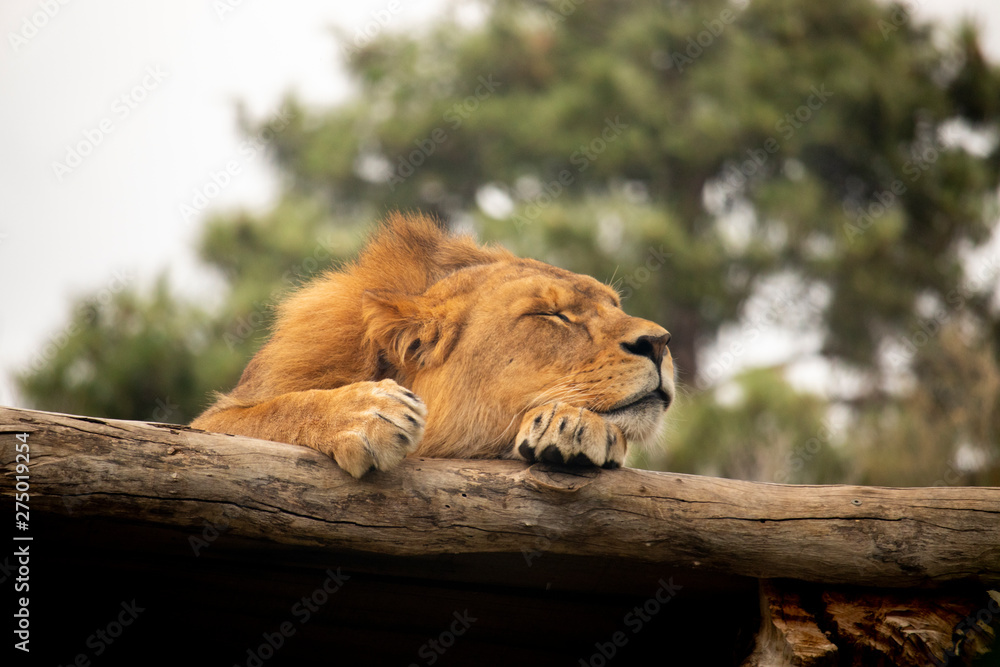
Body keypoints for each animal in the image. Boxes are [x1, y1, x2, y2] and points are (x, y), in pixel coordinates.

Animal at [191, 212, 674, 478]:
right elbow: (278, 411)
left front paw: (578, 424)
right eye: (551, 315)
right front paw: (365, 413)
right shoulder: (209, 425)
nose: (660, 342)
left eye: (614, 305)